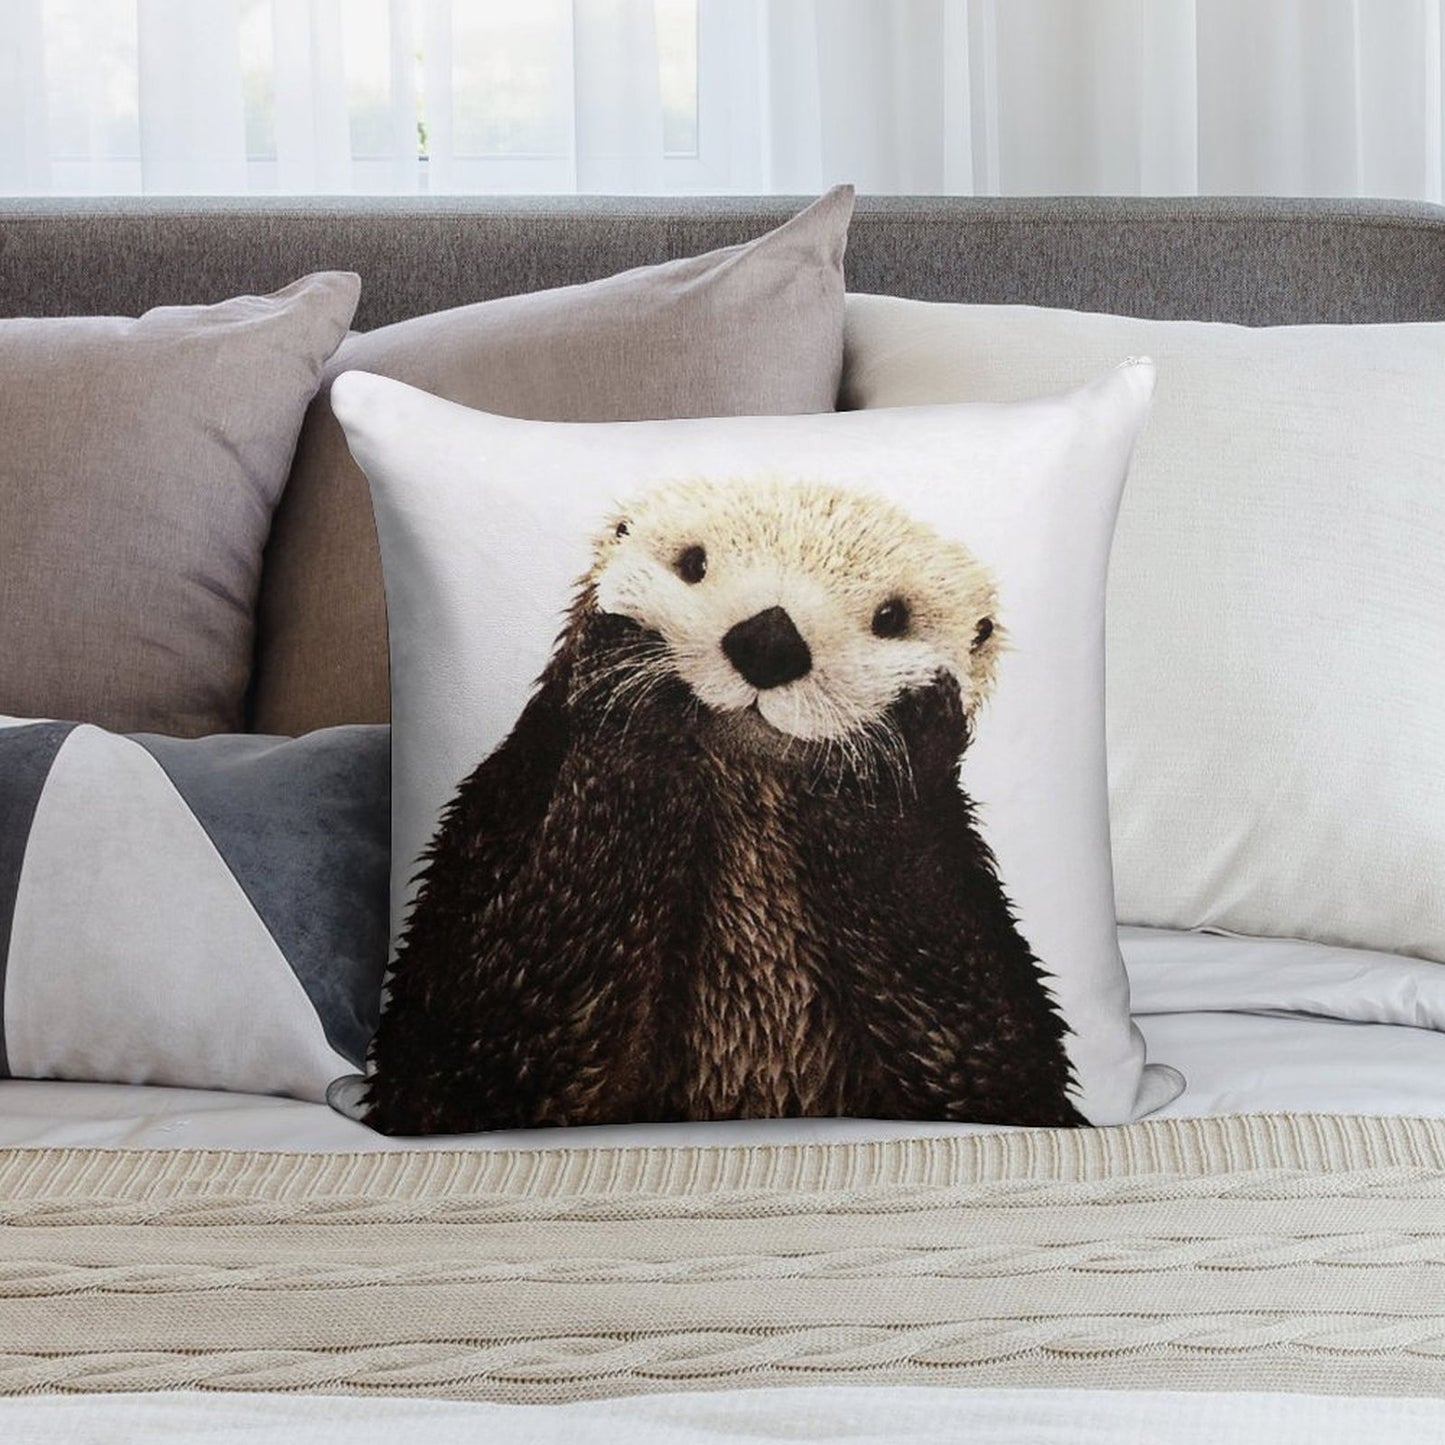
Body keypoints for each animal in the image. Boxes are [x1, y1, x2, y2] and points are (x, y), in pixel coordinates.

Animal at [358, 477, 1083, 1135]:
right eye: (692, 564)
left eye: (891, 619)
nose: (770, 640)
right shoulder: (492, 830)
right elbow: (483, 1043)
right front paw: (629, 670)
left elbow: (981, 1052)